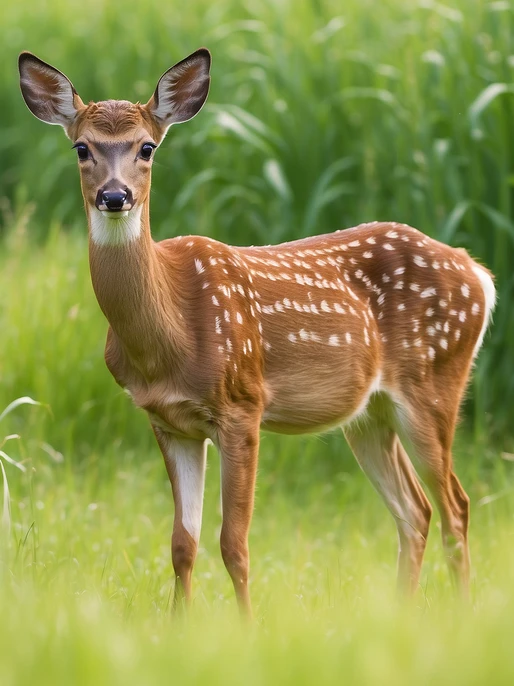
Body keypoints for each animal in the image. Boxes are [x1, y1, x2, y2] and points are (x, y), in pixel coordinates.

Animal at [19, 48, 496, 617]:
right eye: (82, 147)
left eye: (147, 147)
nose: (116, 196)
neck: (171, 332)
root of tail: (479, 273)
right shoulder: (168, 422)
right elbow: (182, 544)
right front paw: (179, 627)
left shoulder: (243, 404)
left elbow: (234, 542)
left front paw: (246, 628)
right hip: (369, 414)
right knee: (415, 511)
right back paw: (402, 614)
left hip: (435, 383)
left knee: (456, 505)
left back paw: (462, 613)